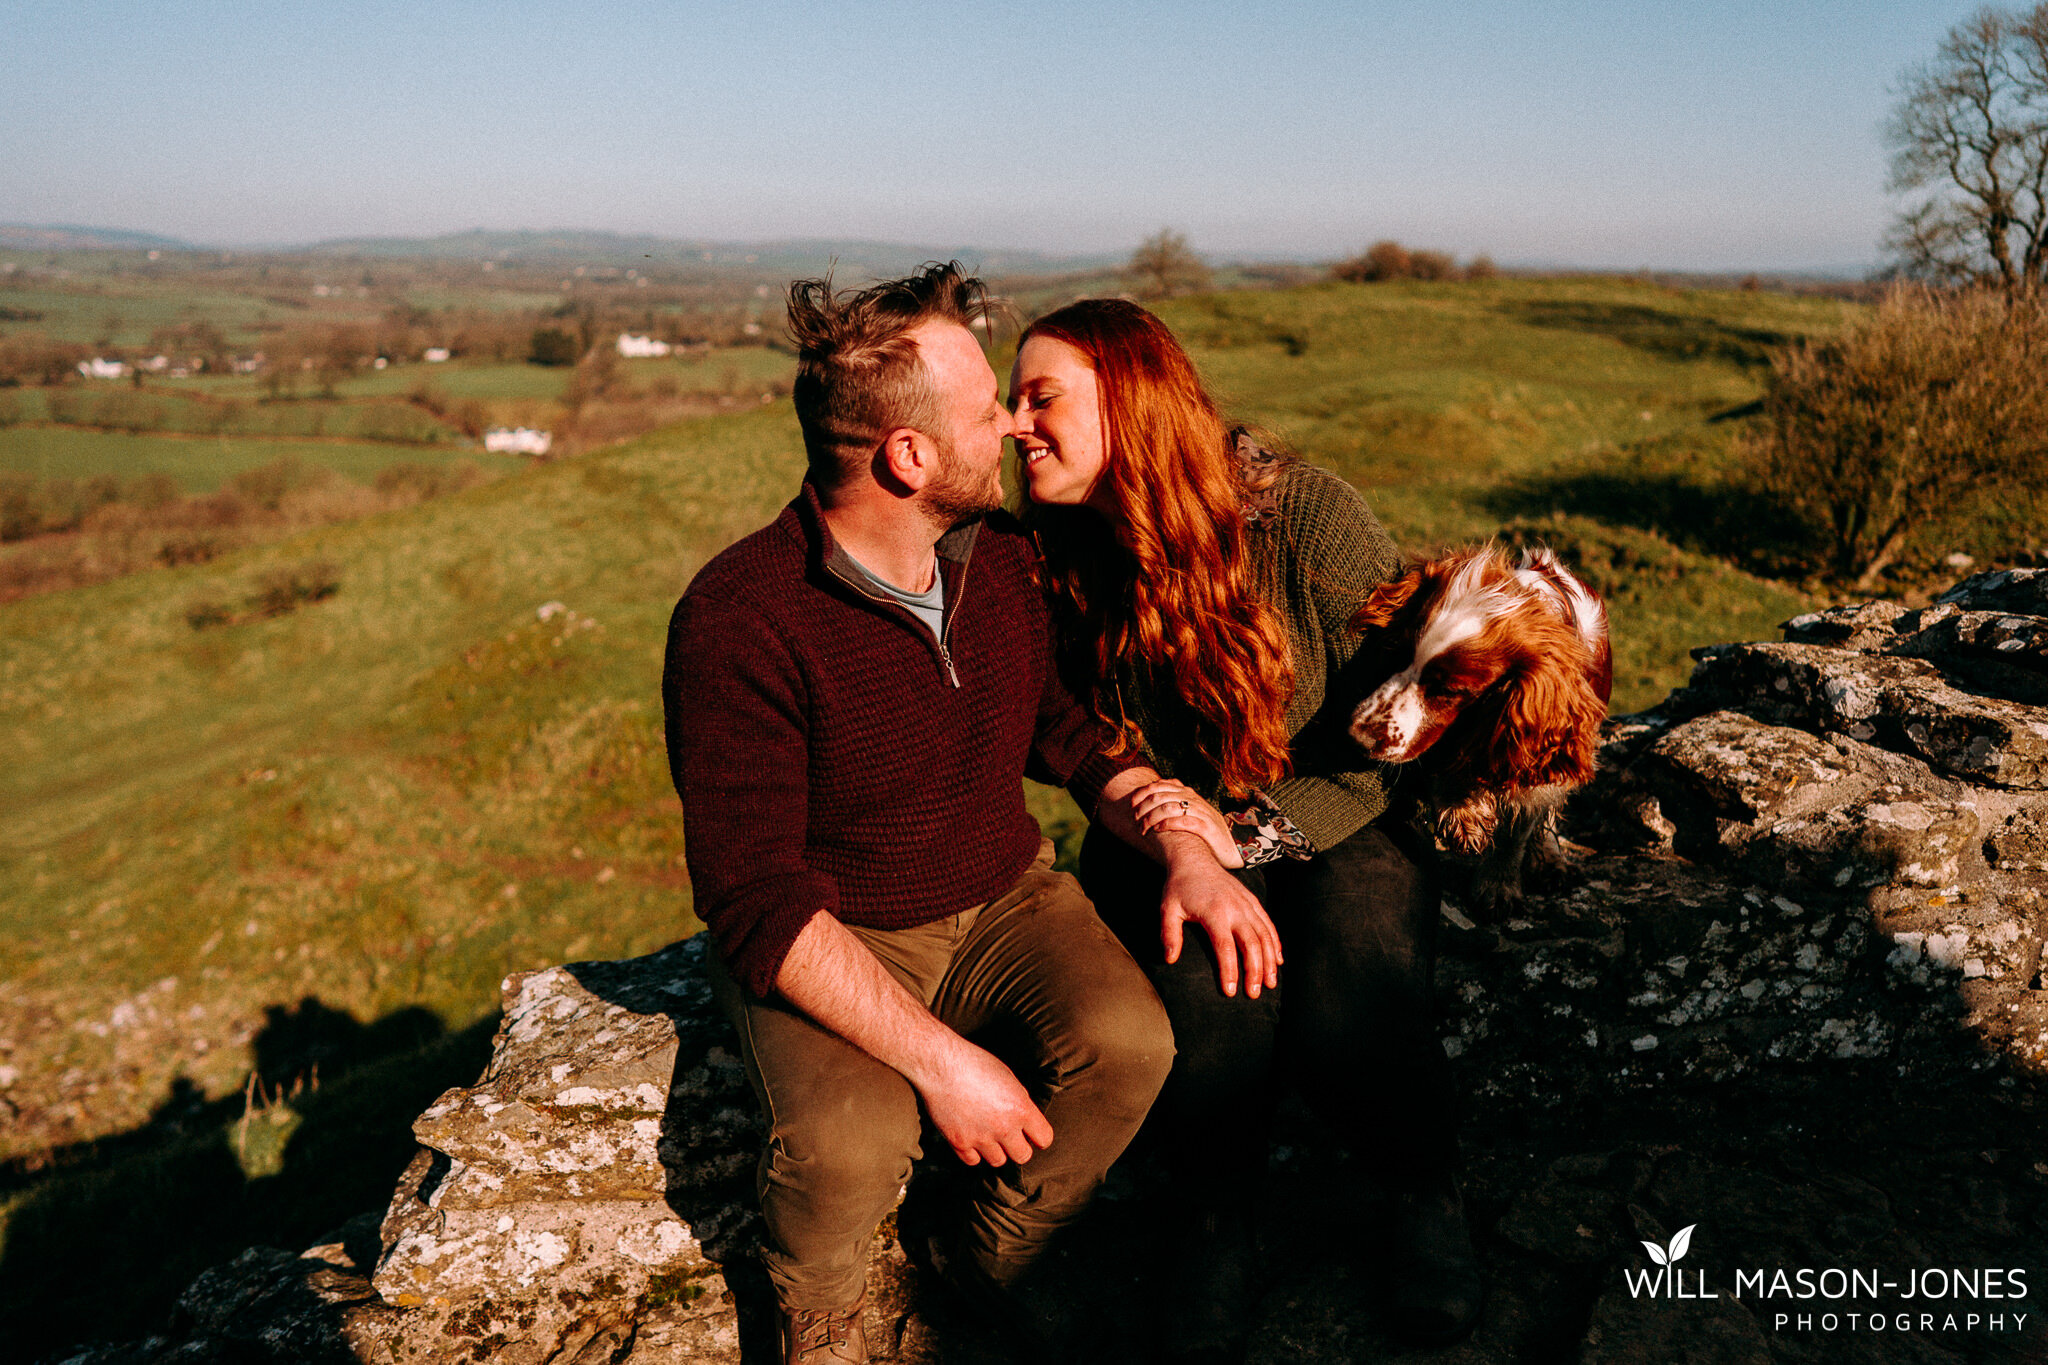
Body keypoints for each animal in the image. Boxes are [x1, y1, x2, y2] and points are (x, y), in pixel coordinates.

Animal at [1343, 544, 1613, 916]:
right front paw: (1461, 809)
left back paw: (1549, 858)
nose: (1358, 736)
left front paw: (1498, 886)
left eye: (1450, 690)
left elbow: (1517, 828)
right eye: (1395, 651)